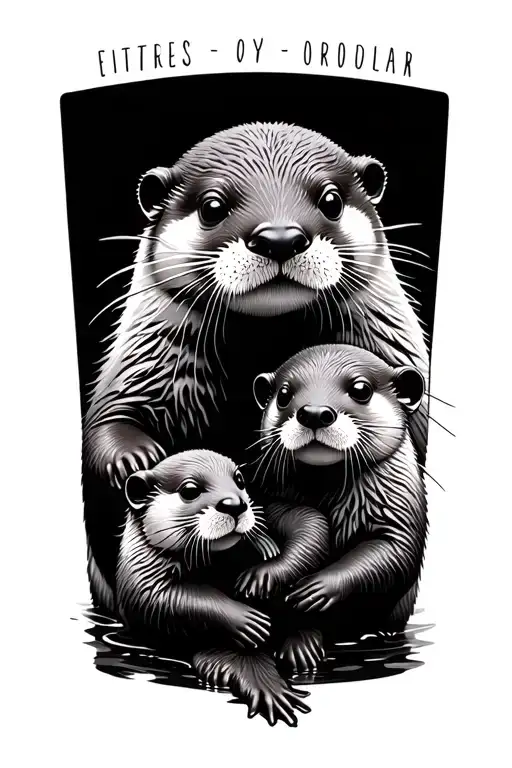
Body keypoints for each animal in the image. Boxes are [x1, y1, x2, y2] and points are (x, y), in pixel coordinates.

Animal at [83, 122, 429, 610]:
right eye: (212, 206)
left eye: (330, 200)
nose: (279, 238)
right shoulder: (142, 366)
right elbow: (106, 424)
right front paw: (137, 456)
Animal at [117, 449, 312, 727]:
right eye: (190, 490)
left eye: (239, 480)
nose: (235, 505)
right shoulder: (140, 574)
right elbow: (162, 599)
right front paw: (246, 620)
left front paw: (263, 570)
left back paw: (302, 647)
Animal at [246, 344, 427, 663]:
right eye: (284, 394)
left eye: (360, 389)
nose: (314, 413)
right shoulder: (268, 493)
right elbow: (300, 519)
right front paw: (269, 573)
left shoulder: (399, 510)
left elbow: (393, 553)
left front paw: (318, 587)